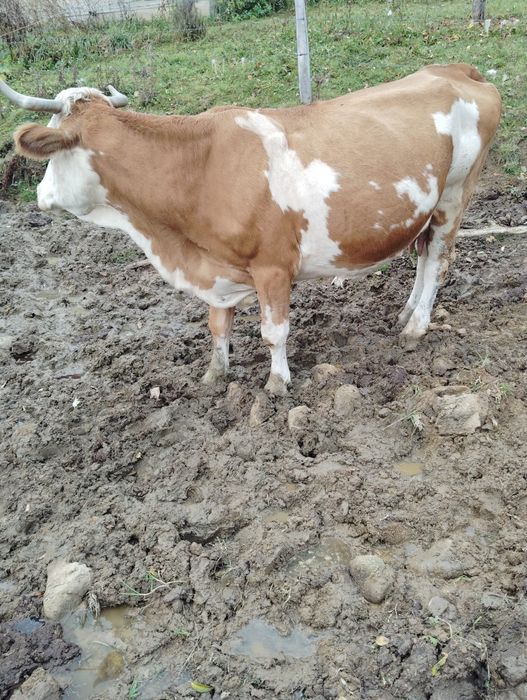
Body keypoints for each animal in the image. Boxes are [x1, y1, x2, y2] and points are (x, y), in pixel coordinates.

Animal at [1, 64, 501, 395]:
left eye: (50, 154)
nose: (40, 195)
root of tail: (455, 69)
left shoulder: (273, 267)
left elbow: (273, 331)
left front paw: (277, 383)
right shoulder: (216, 266)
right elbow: (217, 324)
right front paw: (215, 374)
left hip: (455, 195)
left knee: (437, 261)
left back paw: (416, 326)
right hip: (424, 208)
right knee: (422, 256)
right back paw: (405, 313)